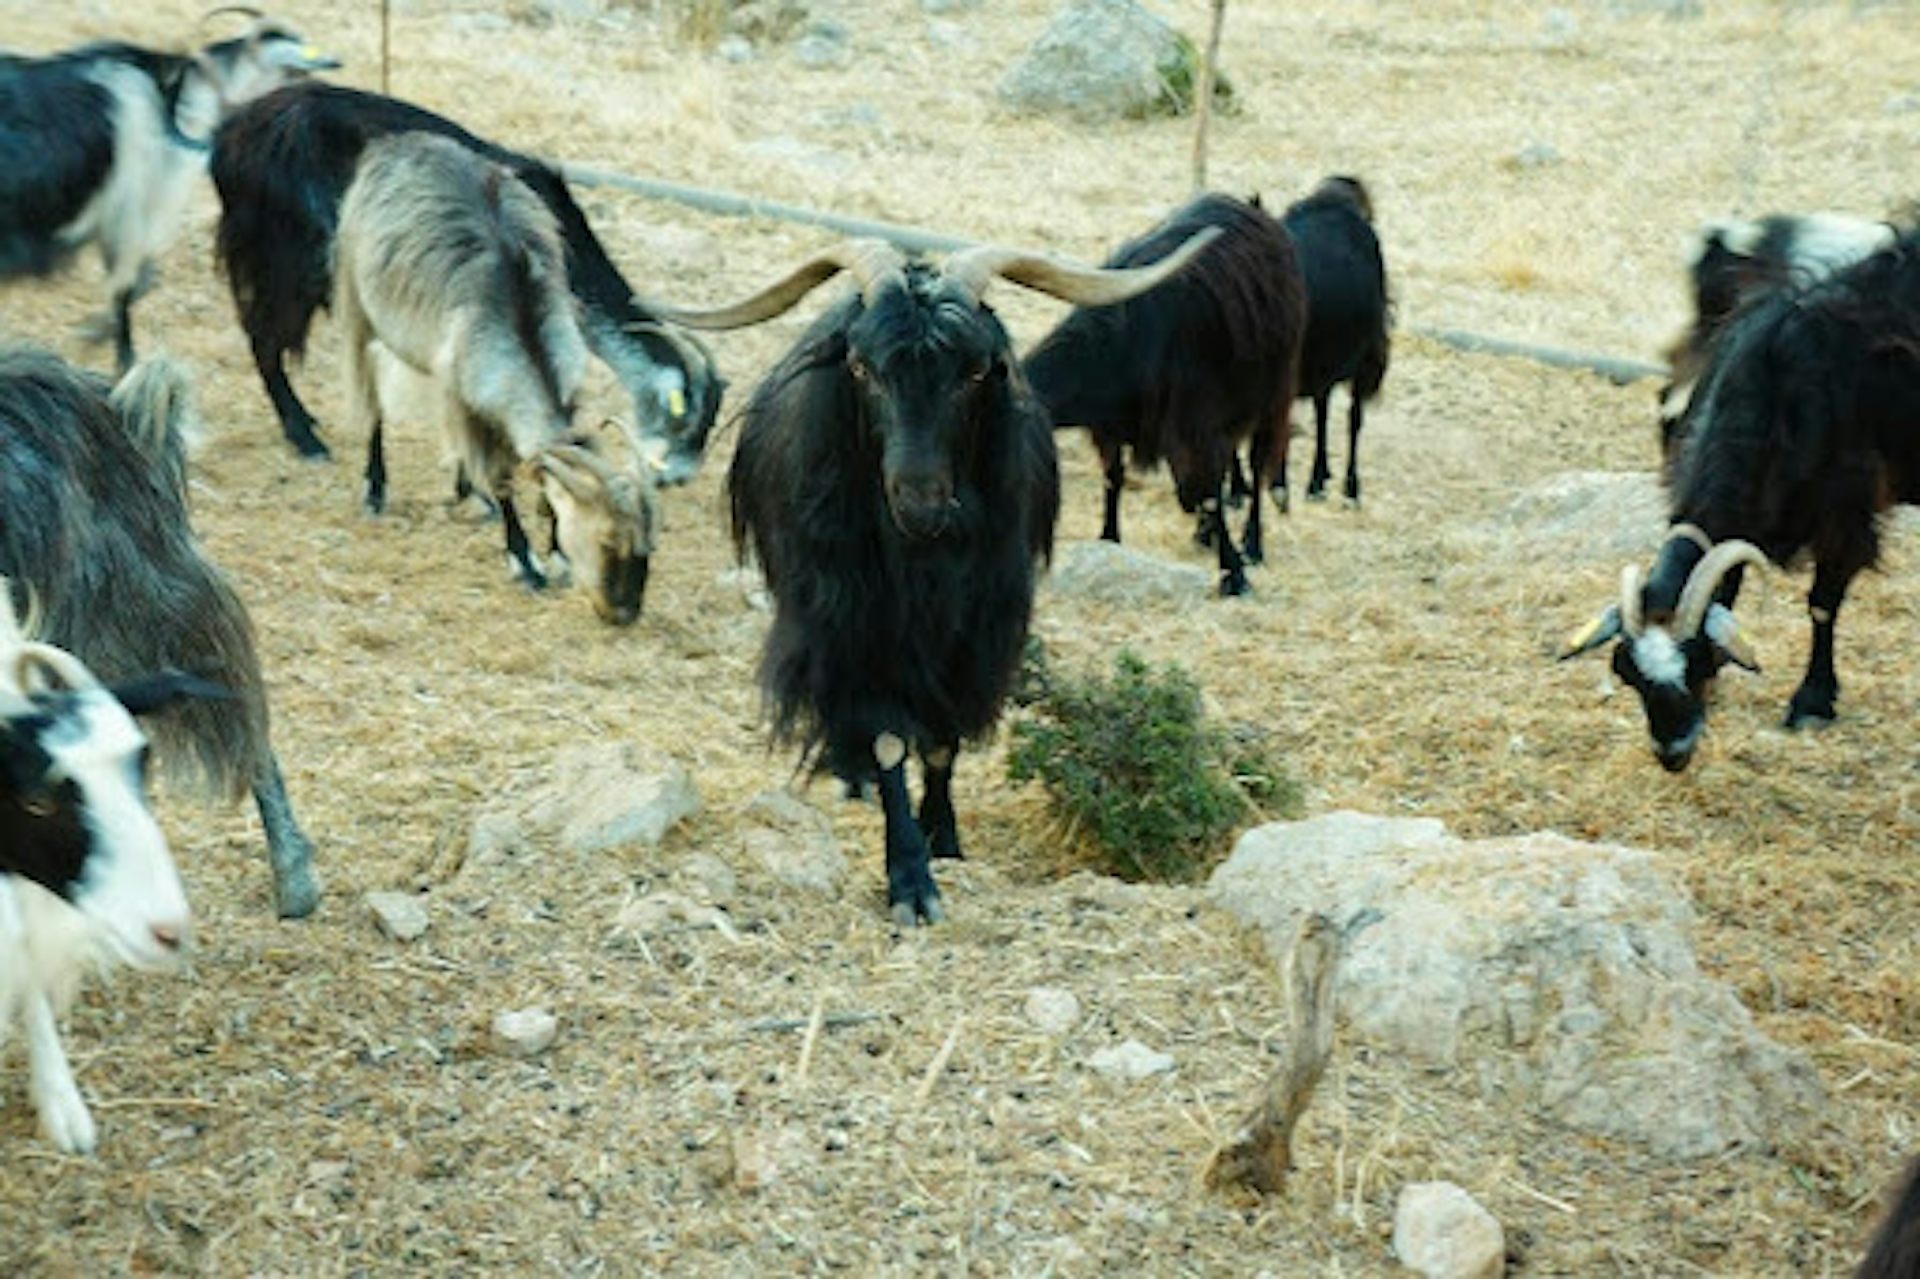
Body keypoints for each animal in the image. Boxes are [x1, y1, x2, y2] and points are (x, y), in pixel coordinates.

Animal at [0, 16, 337, 373]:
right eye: (293, 71)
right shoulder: (128, 219)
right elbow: (128, 290)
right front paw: (116, 357)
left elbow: (142, 281)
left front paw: (92, 337)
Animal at [211, 80, 721, 482]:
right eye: (687, 422)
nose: (676, 478)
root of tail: (232, 138)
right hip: (287, 260)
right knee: (263, 338)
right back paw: (305, 439)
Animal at [334, 133, 655, 625]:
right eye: (607, 540)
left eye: (649, 546)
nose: (623, 613)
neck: (518, 311)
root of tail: (393, 144)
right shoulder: (469, 395)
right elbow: (502, 477)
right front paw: (526, 564)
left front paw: (556, 556)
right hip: (360, 305)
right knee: (372, 398)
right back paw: (375, 490)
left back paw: (467, 492)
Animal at [652, 231, 1214, 924]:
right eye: (862, 368)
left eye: (974, 372)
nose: (919, 501)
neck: (923, 562)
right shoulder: (853, 626)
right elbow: (889, 739)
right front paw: (910, 878)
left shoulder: (976, 634)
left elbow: (943, 741)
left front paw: (943, 836)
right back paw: (852, 775)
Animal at [1023, 193, 1306, 596]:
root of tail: (1252, 209)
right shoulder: (1109, 428)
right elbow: (1114, 479)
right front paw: (1109, 539)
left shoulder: (1195, 423)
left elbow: (1210, 492)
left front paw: (1235, 573)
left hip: (1274, 390)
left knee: (1259, 459)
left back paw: (1252, 543)